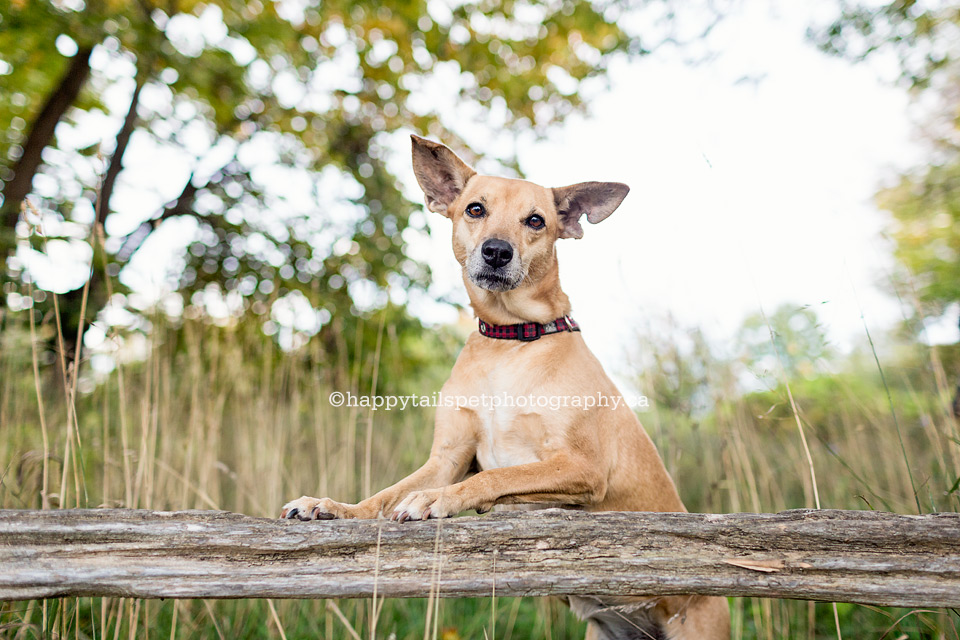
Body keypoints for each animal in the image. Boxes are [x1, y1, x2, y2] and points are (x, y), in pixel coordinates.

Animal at [282, 136, 732, 640]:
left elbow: (497, 477)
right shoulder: (447, 458)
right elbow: (386, 496)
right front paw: (335, 507)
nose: (497, 251)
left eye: (535, 221)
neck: (511, 340)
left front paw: (440, 499)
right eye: (475, 209)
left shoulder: (582, 467)